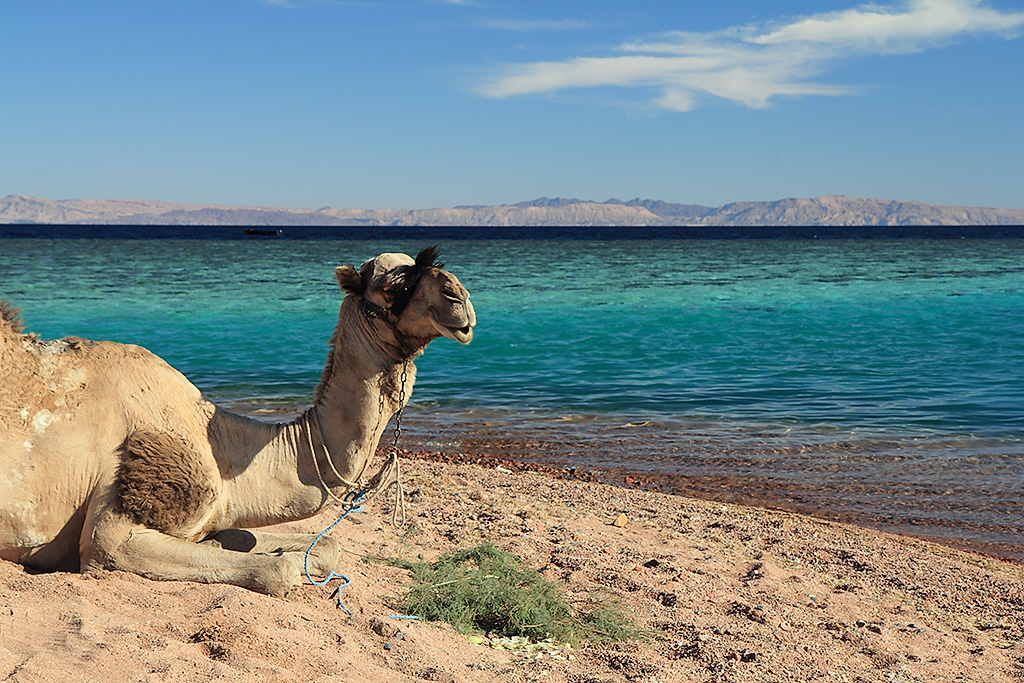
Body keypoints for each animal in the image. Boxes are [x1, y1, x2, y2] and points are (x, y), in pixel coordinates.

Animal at [0, 248, 475, 593]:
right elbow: (280, 571)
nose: (460, 299)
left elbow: (326, 545)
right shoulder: (114, 532)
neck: (214, 441)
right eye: (394, 284)